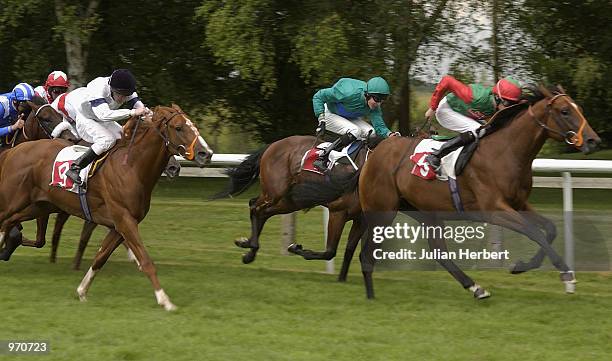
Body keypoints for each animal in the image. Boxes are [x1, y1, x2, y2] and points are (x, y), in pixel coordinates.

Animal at [0, 105, 213, 310]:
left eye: (193, 125)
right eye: (178, 127)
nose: (206, 154)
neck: (131, 168)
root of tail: (13, 151)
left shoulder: (119, 225)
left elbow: (100, 258)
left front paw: (82, 291)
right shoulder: (124, 220)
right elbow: (145, 260)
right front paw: (165, 301)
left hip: (40, 205)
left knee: (10, 222)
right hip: (14, 199)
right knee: (5, 219)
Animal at [215, 135, 376, 282]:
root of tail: (273, 145)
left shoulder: (361, 220)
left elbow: (349, 250)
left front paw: (342, 279)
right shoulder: (338, 212)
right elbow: (330, 251)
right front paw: (294, 247)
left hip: (290, 201)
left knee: (262, 212)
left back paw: (247, 248)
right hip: (275, 193)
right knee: (255, 207)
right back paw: (251, 246)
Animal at [356, 85, 600, 298]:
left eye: (579, 108)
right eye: (565, 111)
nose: (593, 140)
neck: (505, 152)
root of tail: (377, 148)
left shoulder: (519, 203)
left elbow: (549, 229)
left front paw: (524, 266)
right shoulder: (494, 209)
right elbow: (534, 232)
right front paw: (566, 276)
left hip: (425, 212)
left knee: (439, 252)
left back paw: (476, 288)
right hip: (382, 211)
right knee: (366, 254)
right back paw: (370, 296)